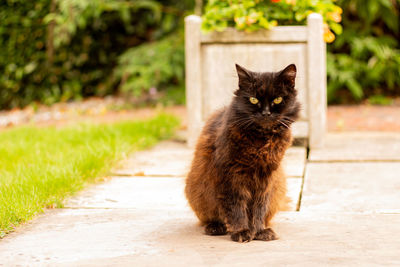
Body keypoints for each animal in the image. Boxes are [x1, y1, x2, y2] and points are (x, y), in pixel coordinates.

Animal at [184, 63, 300, 243]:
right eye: (253, 99)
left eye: (277, 99)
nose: (266, 113)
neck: (261, 141)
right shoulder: (230, 176)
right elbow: (236, 208)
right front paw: (242, 231)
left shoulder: (266, 178)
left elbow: (259, 208)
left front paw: (259, 231)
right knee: (209, 219)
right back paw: (215, 227)